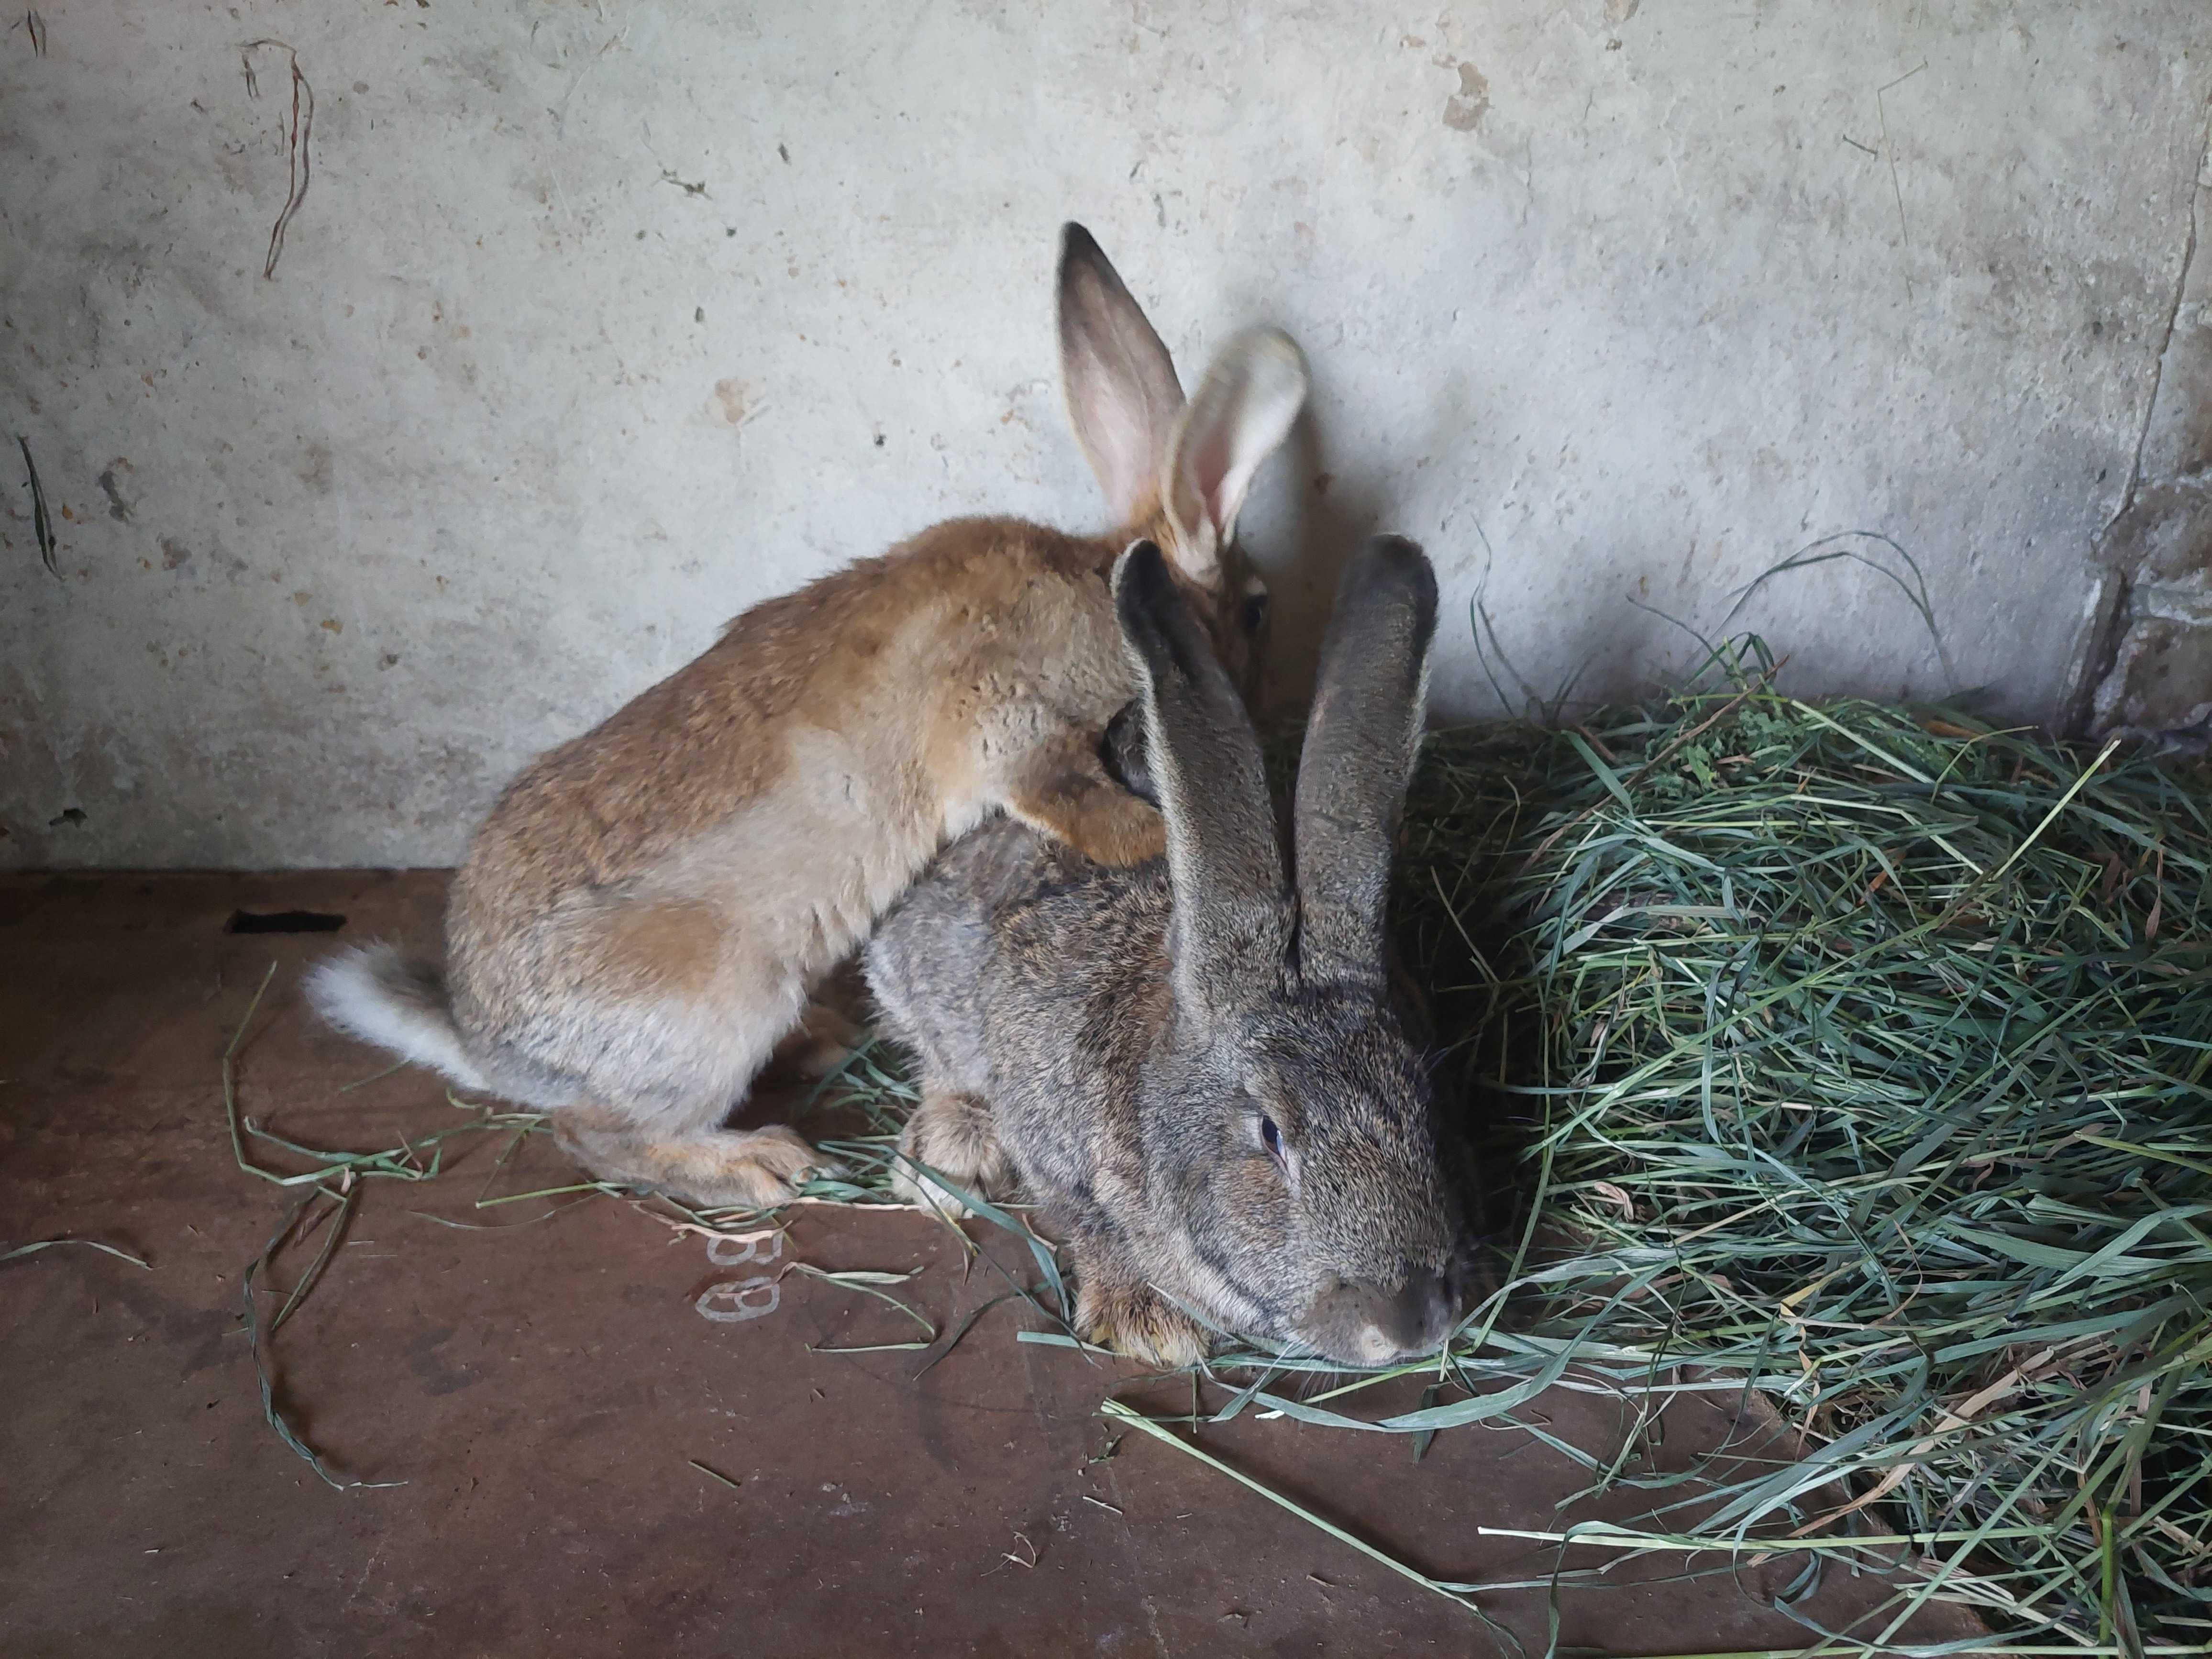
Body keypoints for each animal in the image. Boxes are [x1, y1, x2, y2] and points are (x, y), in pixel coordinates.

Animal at [311, 224, 1309, 1212]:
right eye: (1259, 609)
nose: (1264, 698)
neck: (1104, 583)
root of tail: (486, 1042)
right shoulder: (1006, 717)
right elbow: (1069, 794)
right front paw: (1148, 834)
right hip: (715, 1006)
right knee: (596, 1133)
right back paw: (757, 1163)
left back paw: (815, 1042)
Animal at [863, 540, 1469, 1371]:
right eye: (1271, 1135)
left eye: (1421, 1094)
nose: (1411, 1322)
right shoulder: (1048, 1138)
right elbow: (1087, 1225)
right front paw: (1148, 1325)